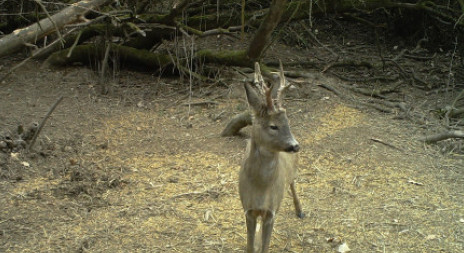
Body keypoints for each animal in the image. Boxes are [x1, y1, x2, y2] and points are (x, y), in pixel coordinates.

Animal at [239, 61, 304, 253]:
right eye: (273, 126)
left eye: (287, 122)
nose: (295, 145)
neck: (261, 189)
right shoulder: (248, 209)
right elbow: (251, 247)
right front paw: (254, 244)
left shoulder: (271, 212)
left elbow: (265, 247)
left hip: (293, 171)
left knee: (293, 183)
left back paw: (300, 210)